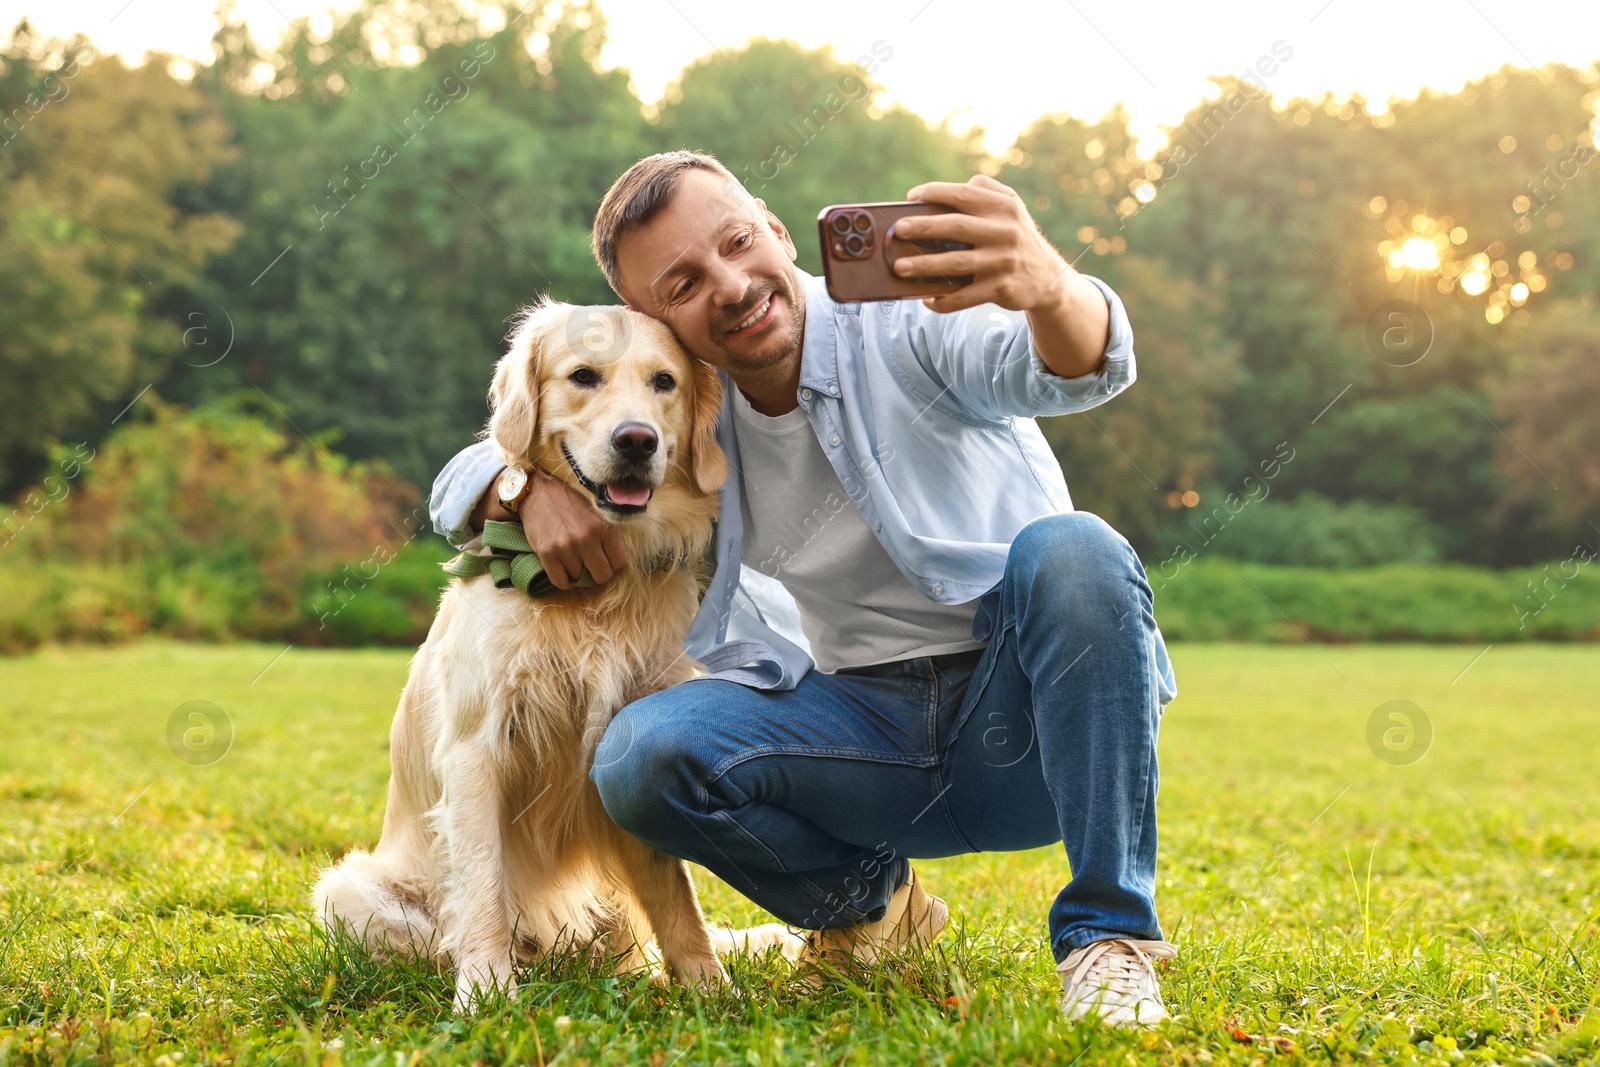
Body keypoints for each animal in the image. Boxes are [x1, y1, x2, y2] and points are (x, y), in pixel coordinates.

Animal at [308, 299, 790, 1011]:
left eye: (665, 382)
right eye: (583, 376)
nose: (637, 441)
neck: (596, 587)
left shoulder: (625, 741)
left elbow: (676, 893)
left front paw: (709, 987)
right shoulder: (477, 749)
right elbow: (482, 883)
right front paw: (486, 990)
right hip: (350, 892)